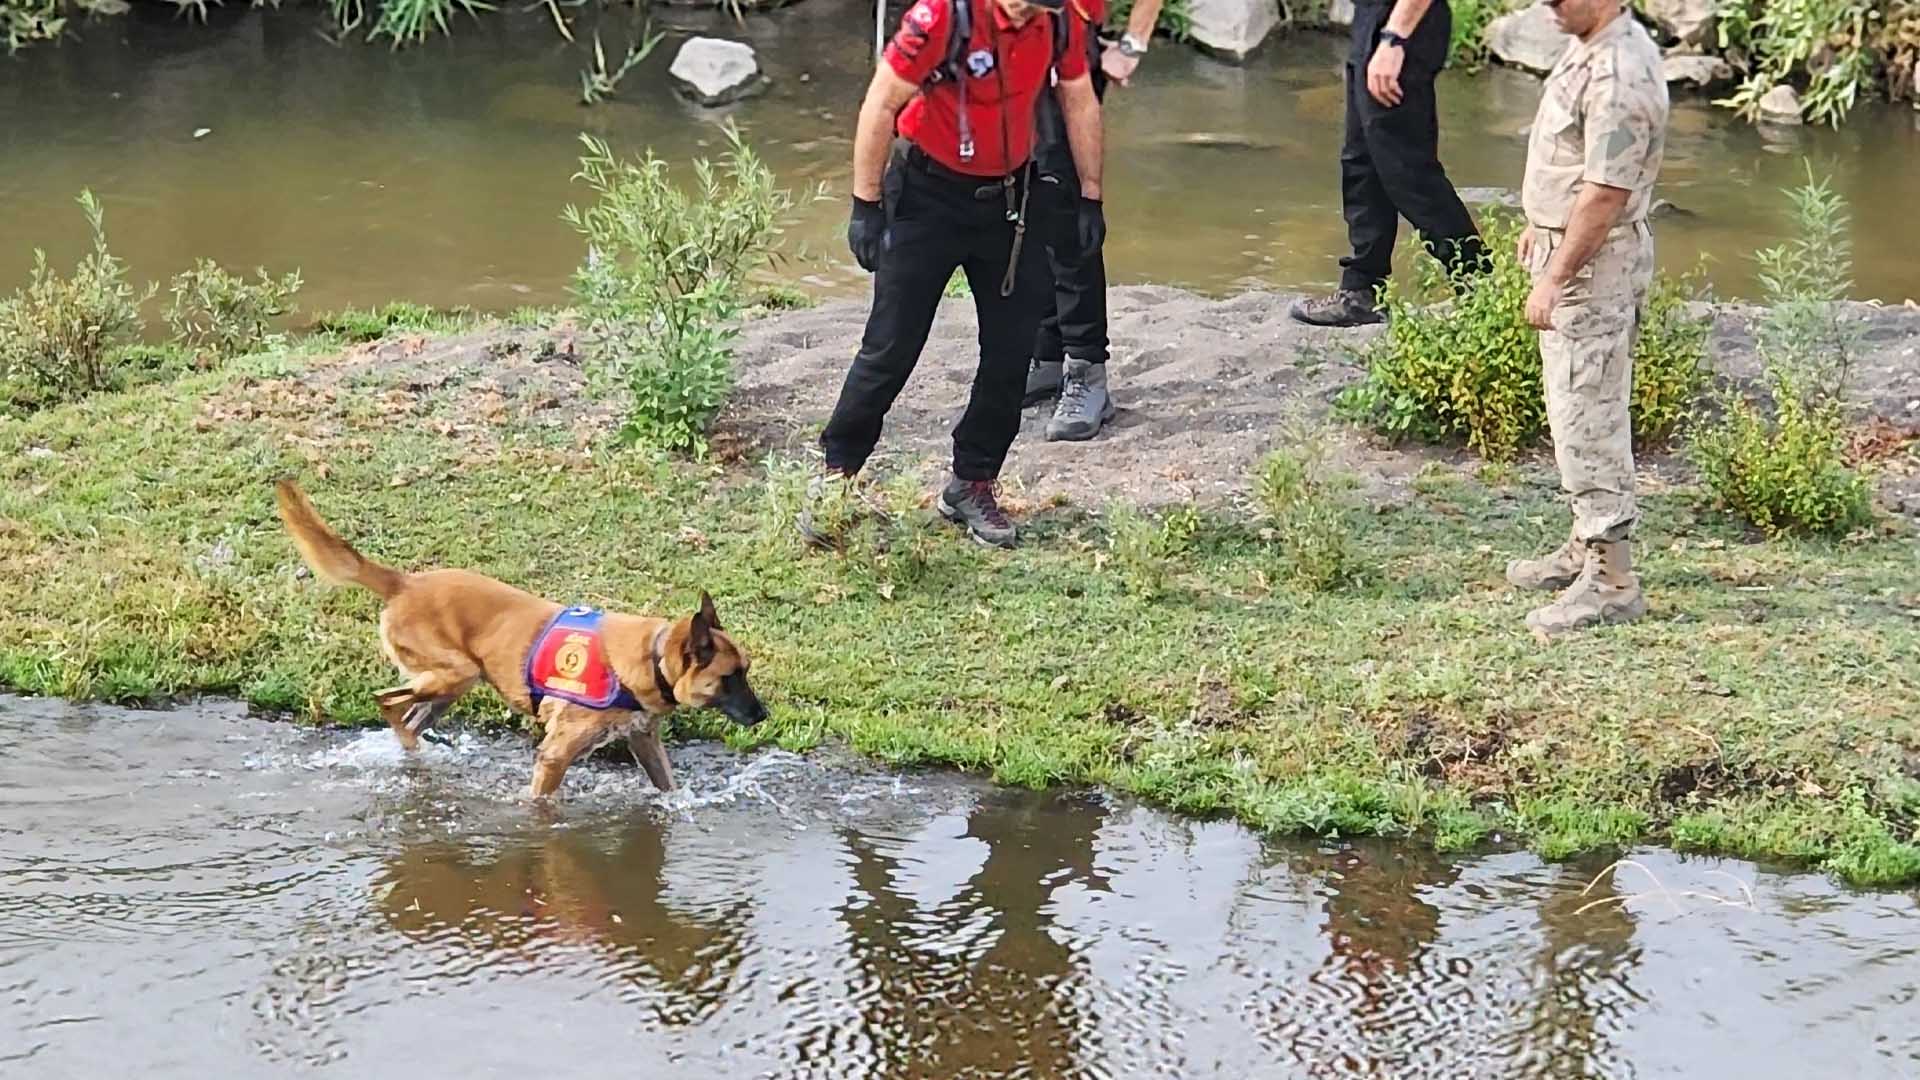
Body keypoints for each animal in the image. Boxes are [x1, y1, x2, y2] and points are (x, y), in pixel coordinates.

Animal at [274, 474, 768, 795]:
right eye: (730, 678)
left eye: (745, 671)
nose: (763, 715)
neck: (653, 656)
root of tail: (405, 582)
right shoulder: (556, 755)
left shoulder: (644, 740)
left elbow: (669, 789)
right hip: (453, 674)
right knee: (388, 703)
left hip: (453, 685)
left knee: (406, 715)